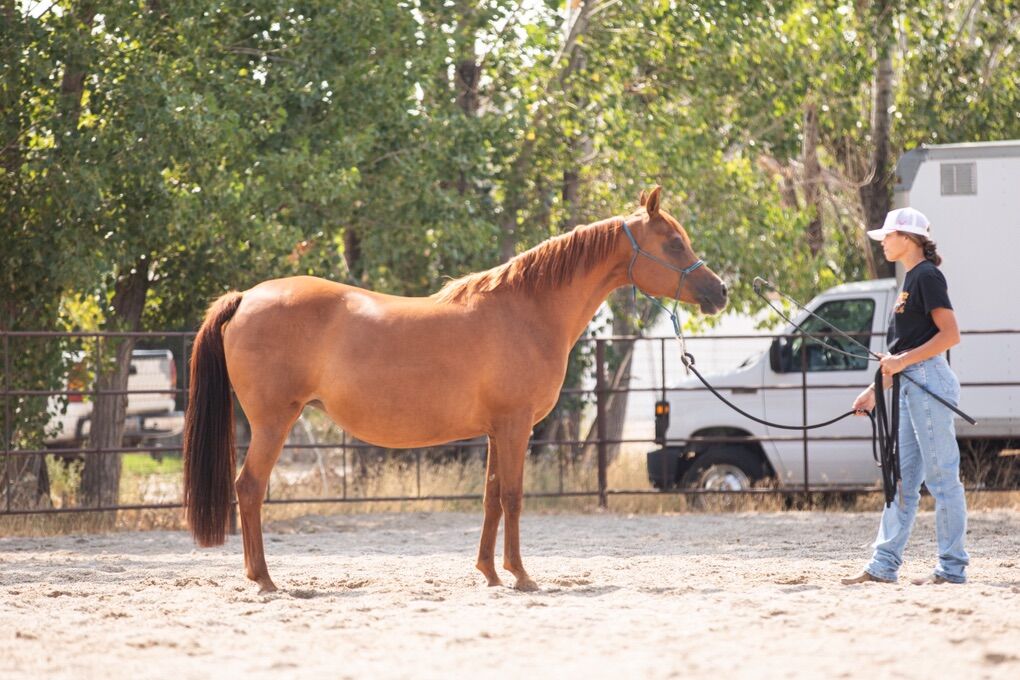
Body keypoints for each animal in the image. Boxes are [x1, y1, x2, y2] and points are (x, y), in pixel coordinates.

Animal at [182, 186, 727, 593]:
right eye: (674, 243)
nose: (719, 292)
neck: (526, 312)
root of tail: (247, 297)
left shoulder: (495, 430)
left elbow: (490, 498)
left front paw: (489, 573)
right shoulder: (515, 427)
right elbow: (513, 496)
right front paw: (522, 576)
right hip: (274, 421)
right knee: (249, 488)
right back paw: (264, 579)